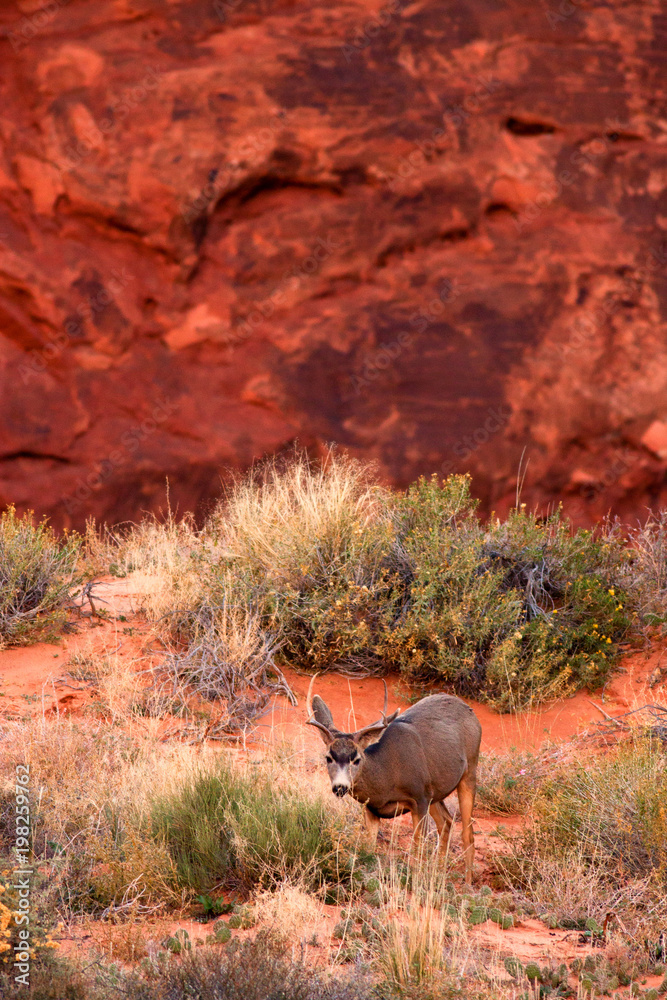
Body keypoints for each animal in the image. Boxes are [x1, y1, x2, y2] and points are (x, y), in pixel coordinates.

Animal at [306, 676, 482, 880]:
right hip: (434, 791)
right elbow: (369, 849)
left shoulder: (419, 798)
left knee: (467, 833)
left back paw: (467, 883)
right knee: (446, 822)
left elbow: (417, 851)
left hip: (469, 771)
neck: (386, 777)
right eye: (329, 757)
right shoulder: (372, 809)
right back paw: (438, 874)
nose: (340, 787)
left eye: (357, 759)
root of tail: (470, 711)